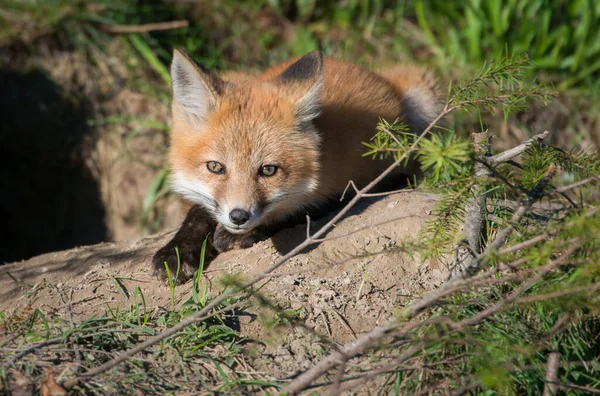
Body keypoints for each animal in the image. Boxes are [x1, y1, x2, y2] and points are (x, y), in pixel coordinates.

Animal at [150, 49, 440, 282]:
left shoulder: (343, 191)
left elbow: (295, 211)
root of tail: (371, 72)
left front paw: (241, 234)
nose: (239, 216)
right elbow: (197, 213)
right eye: (215, 167)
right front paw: (177, 251)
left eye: (268, 170)